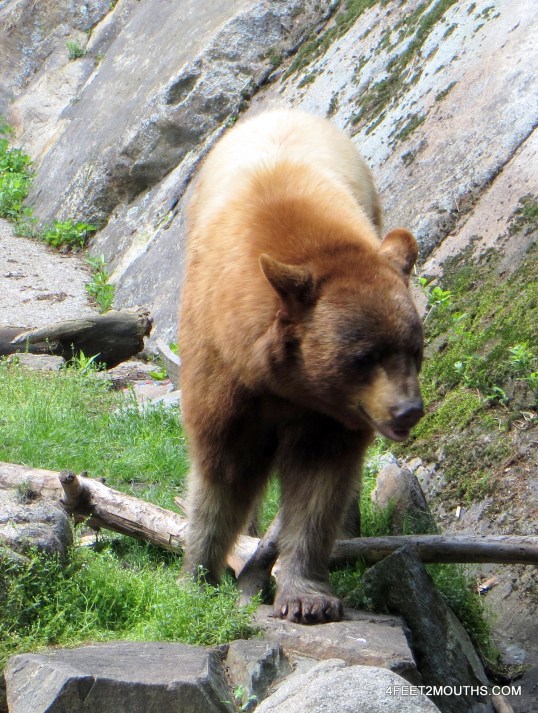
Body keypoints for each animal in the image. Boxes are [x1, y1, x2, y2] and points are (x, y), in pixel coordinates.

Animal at [179, 109, 424, 624]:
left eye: (416, 349)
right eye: (364, 356)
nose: (408, 411)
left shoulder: (331, 416)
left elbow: (319, 486)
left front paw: (308, 597)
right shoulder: (223, 368)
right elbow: (223, 465)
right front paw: (197, 574)